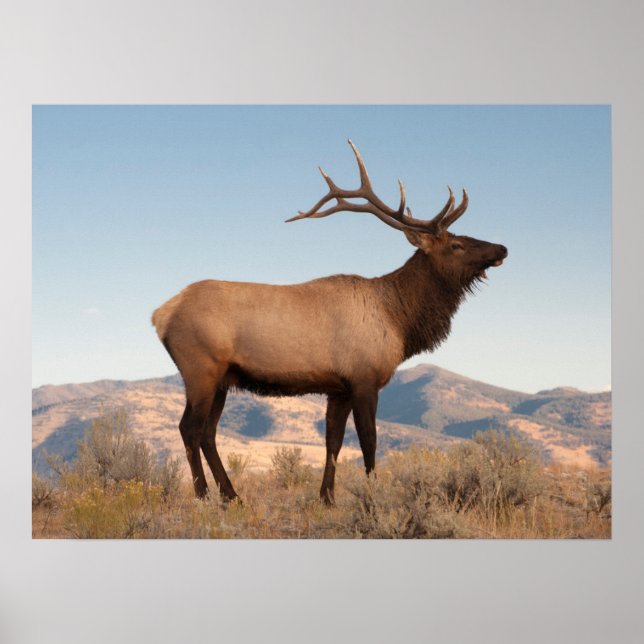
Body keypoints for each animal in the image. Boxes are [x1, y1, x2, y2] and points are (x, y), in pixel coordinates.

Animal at [152, 140, 507, 504]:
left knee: (208, 433)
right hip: (201, 370)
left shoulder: (339, 388)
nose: (502, 248)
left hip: (222, 379)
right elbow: (369, 441)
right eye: (457, 244)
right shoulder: (364, 378)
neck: (399, 320)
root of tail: (161, 315)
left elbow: (332, 442)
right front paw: (372, 496)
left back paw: (231, 496)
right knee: (189, 429)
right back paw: (203, 495)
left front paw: (327, 498)